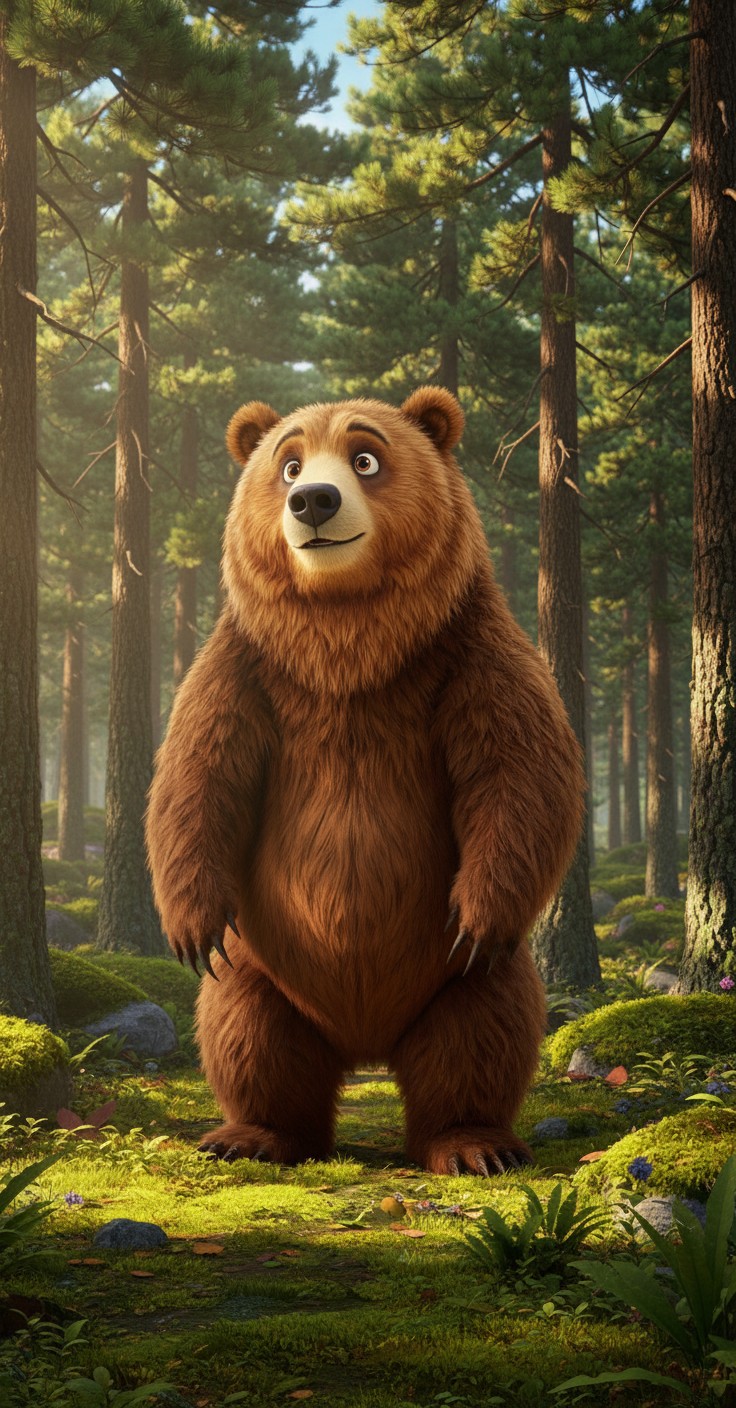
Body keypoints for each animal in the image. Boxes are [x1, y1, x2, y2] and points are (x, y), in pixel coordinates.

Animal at [145, 386, 584, 1176]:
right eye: (288, 463)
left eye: (366, 458)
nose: (314, 500)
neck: (348, 646)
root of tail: (367, 1046)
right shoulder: (249, 667)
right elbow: (198, 775)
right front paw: (193, 929)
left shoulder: (468, 652)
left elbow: (520, 771)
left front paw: (477, 914)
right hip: (265, 971)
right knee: (246, 1033)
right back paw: (250, 1136)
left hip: (456, 981)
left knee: (482, 1031)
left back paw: (474, 1144)